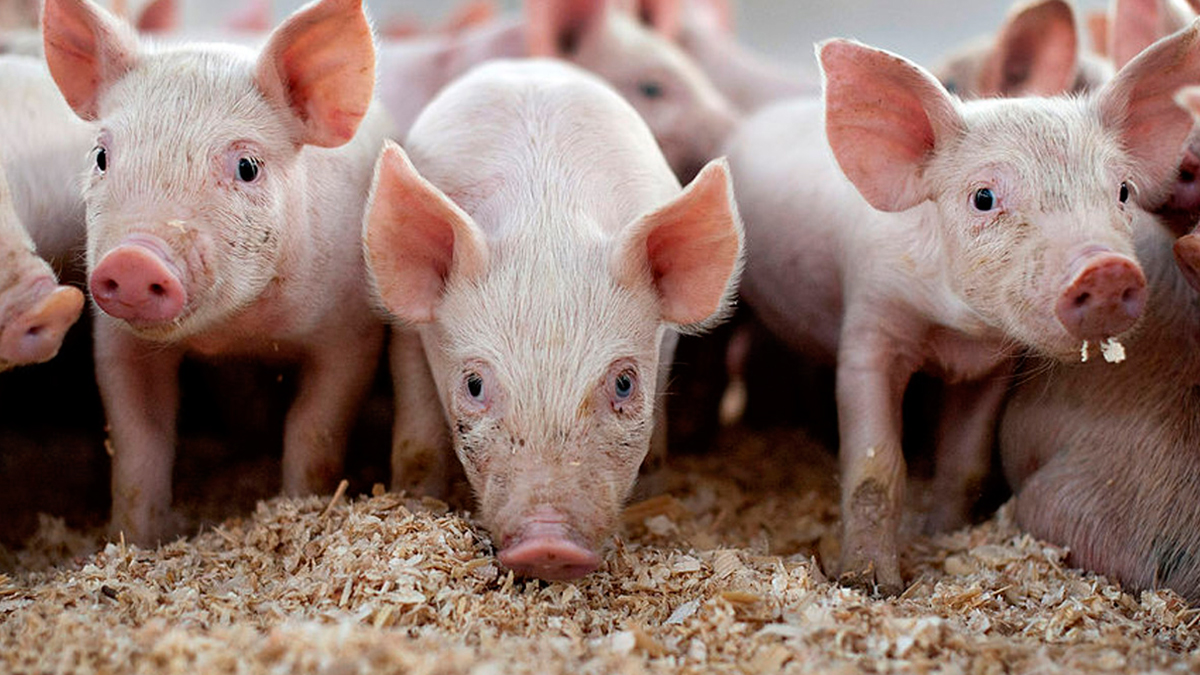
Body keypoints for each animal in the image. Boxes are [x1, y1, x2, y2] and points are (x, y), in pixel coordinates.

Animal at [41, 0, 391, 545]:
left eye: (247, 166)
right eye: (101, 156)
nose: (134, 259)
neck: (236, 332)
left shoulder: (352, 331)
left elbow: (315, 427)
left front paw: (297, 507)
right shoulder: (118, 341)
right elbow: (139, 438)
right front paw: (135, 540)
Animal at [363, 59, 743, 580]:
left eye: (625, 383)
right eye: (474, 385)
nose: (549, 544)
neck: (547, 223)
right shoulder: (410, 332)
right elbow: (417, 443)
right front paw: (419, 502)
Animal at [724, 25, 1200, 594]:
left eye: (1123, 191)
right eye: (984, 197)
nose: (1105, 270)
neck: (954, 331)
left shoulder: (994, 366)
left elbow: (965, 461)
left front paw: (944, 536)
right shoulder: (869, 325)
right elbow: (874, 469)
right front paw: (871, 584)